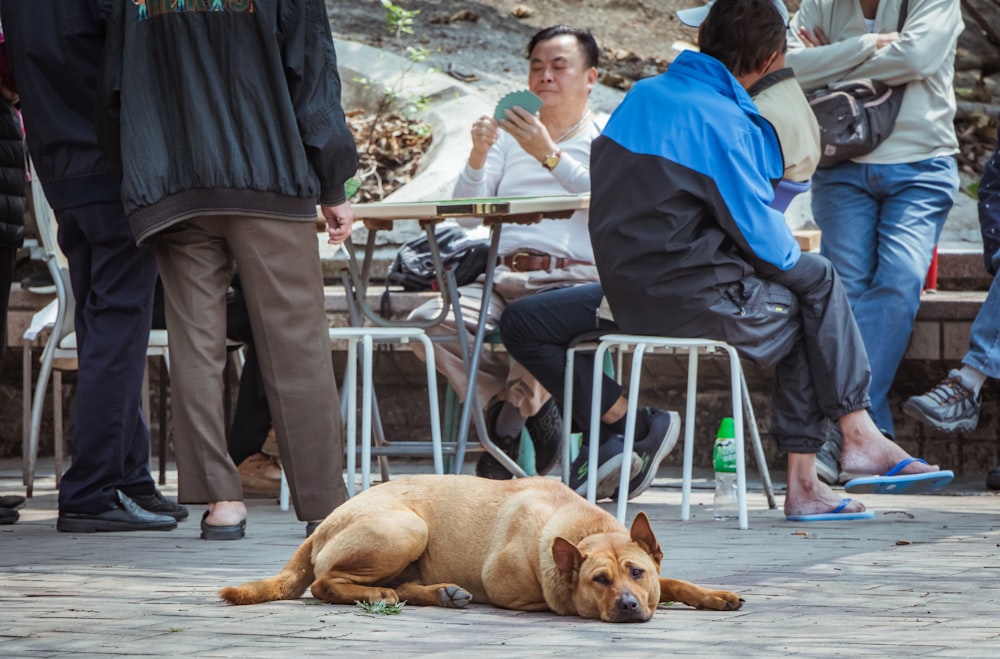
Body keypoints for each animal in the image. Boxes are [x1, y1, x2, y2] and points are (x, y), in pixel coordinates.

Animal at [223, 474, 748, 624]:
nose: (627, 605)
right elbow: (552, 600)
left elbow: (674, 581)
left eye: (637, 573)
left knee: (402, 585)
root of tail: (323, 524)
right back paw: (380, 595)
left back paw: (439, 593)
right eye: (599, 580)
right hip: (405, 528)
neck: (583, 529)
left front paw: (714, 596)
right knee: (325, 584)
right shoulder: (511, 587)